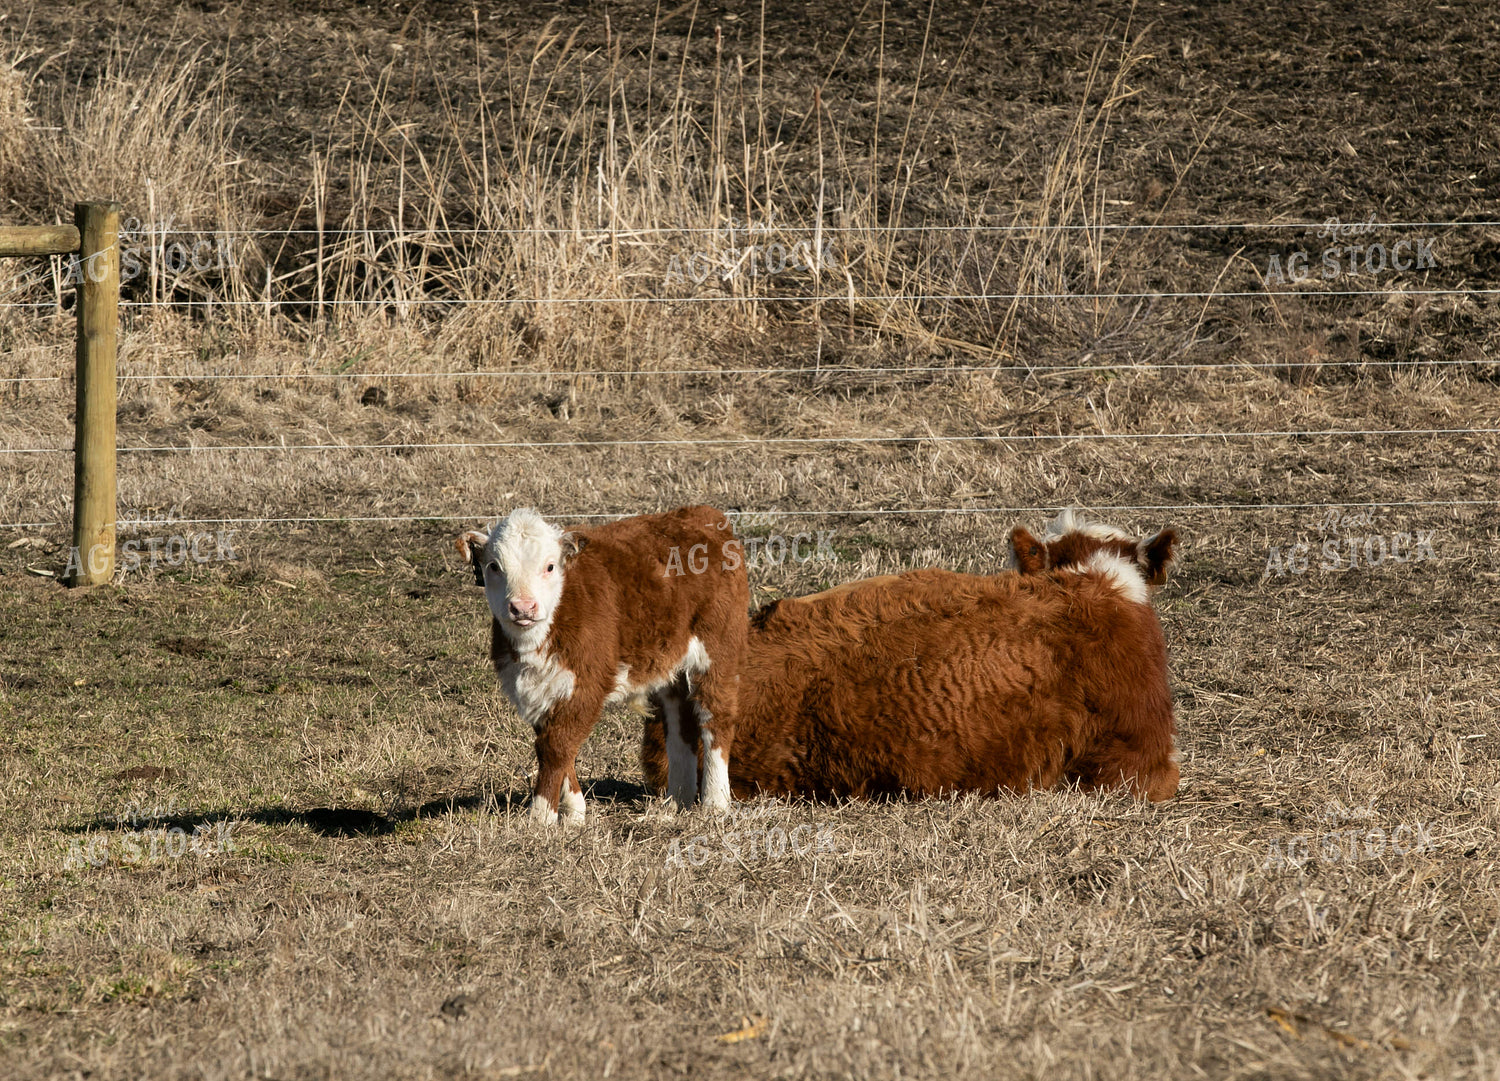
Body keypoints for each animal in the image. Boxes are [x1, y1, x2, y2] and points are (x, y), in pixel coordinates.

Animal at [457, 505, 748, 824]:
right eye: (494, 566)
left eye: (550, 567)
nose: (523, 607)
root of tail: (703, 514)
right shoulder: (538, 690)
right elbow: (555, 746)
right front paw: (573, 812)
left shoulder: (587, 685)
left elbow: (555, 746)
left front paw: (541, 817)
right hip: (671, 662)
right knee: (679, 721)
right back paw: (676, 801)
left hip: (718, 647)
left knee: (715, 716)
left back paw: (715, 801)